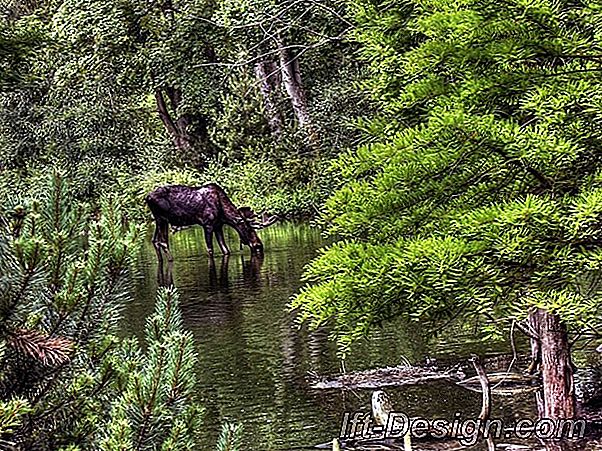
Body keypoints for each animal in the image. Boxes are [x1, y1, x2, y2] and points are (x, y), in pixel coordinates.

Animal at [145, 182, 276, 264]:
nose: (259, 245)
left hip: (159, 220)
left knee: (155, 240)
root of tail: (147, 197)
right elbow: (210, 249)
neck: (223, 212)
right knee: (163, 242)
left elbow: (226, 250)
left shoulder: (218, 225)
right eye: (249, 229)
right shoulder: (207, 224)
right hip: (162, 219)